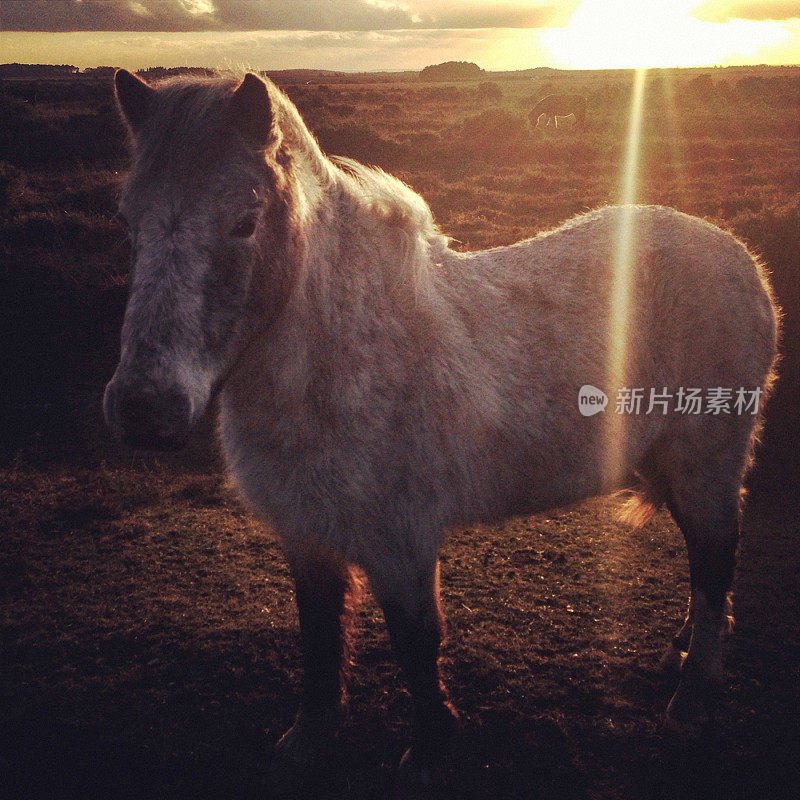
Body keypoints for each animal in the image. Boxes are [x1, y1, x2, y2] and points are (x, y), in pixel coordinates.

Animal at [103, 72, 780, 784]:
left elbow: (415, 644)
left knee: (716, 558)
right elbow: (319, 637)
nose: (144, 410)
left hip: (708, 462)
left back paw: (692, 700)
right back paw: (683, 647)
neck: (342, 358)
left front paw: (429, 749)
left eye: (245, 221)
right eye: (128, 222)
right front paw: (311, 734)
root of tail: (740, 258)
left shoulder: (402, 541)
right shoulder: (305, 535)